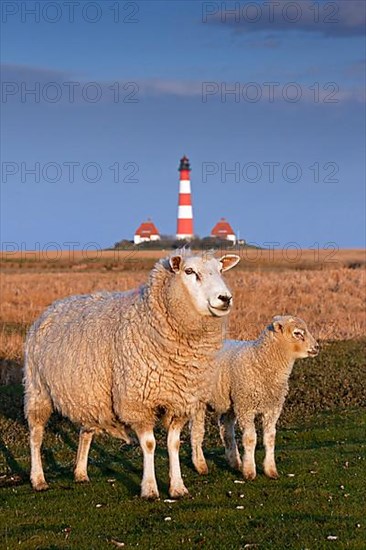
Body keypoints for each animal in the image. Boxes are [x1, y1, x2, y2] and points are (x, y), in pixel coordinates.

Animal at [23, 250, 240, 500]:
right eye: (189, 271)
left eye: (221, 270)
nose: (225, 298)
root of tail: (53, 307)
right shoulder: (137, 401)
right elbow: (149, 444)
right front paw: (150, 488)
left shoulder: (181, 400)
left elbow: (174, 443)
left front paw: (177, 487)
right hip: (37, 389)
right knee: (36, 435)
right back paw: (38, 479)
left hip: (90, 394)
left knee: (85, 431)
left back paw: (80, 473)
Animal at [190, 316, 318, 480]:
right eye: (297, 333)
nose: (316, 347)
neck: (260, 360)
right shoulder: (246, 407)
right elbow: (250, 438)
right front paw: (250, 471)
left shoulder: (272, 408)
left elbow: (270, 438)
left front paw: (271, 470)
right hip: (199, 401)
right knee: (197, 431)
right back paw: (201, 465)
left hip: (229, 403)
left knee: (226, 430)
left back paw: (235, 462)